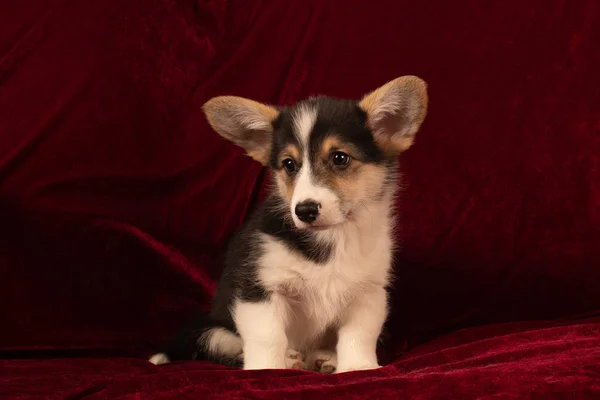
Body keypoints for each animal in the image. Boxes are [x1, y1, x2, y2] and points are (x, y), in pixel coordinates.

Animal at [152, 76, 428, 376]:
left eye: (340, 158)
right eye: (289, 164)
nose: (305, 210)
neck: (333, 238)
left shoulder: (369, 292)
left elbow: (358, 334)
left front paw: (357, 367)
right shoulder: (259, 287)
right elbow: (267, 335)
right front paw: (268, 369)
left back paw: (325, 358)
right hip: (207, 330)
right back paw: (289, 360)